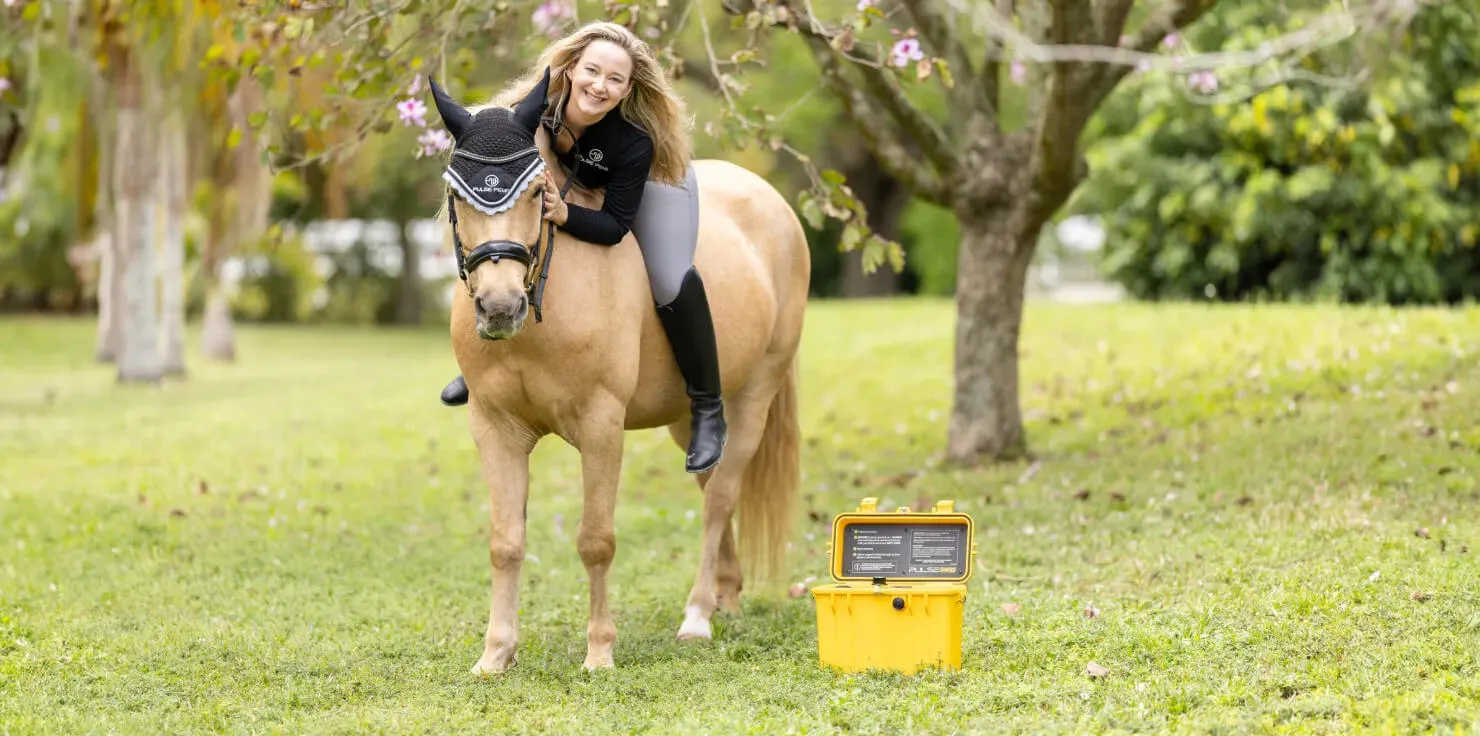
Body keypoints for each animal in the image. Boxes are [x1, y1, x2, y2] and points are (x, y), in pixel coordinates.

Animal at [428, 76, 811, 674]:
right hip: (689, 417)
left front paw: (599, 652)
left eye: (537, 193)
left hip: (755, 393)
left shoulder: (601, 425)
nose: (499, 307)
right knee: (710, 479)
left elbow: (596, 541)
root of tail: (770, 199)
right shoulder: (494, 427)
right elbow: (505, 541)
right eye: (457, 195)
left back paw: (697, 616)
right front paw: (495, 655)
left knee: (720, 498)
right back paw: (725, 595)